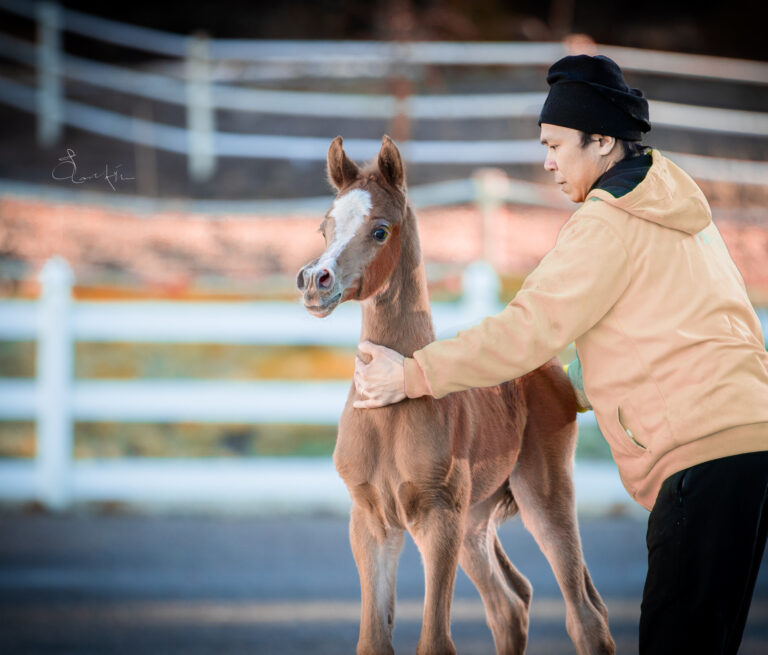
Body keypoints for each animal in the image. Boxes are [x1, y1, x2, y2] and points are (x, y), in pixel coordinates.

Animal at [294, 136, 612, 652]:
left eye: (380, 231)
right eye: (325, 227)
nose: (314, 282)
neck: (388, 410)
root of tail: (554, 370)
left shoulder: (437, 518)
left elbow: (435, 641)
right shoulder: (370, 521)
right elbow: (373, 640)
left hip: (542, 494)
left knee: (584, 615)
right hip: (475, 520)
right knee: (510, 603)